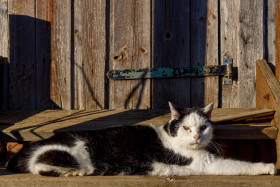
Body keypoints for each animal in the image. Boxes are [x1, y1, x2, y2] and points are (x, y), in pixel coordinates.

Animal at [6, 103, 276, 176]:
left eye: (203, 127)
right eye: (186, 127)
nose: (197, 136)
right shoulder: (205, 164)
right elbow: (238, 165)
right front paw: (267, 167)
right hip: (76, 151)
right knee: (40, 165)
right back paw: (74, 173)